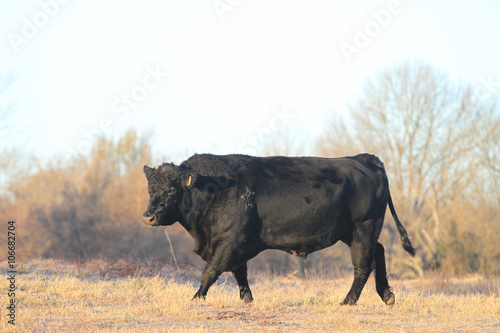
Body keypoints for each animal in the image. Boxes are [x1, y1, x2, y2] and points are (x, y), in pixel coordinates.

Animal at [143, 152, 416, 304]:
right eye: (150, 189)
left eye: (171, 190)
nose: (148, 217)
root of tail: (364, 158)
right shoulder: (235, 245)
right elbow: (240, 274)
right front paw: (248, 300)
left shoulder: (230, 241)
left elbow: (210, 272)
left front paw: (196, 299)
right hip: (352, 233)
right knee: (378, 252)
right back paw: (387, 296)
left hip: (364, 229)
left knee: (363, 266)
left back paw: (348, 302)